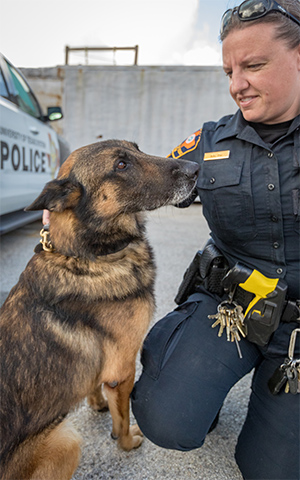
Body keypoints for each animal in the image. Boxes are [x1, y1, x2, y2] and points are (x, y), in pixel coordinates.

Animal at [0, 140, 199, 480]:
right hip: (66, 439)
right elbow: (122, 417)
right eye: (121, 165)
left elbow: (94, 383)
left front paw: (96, 402)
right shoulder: (123, 372)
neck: (89, 255)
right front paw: (127, 441)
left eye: (138, 149)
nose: (196, 168)